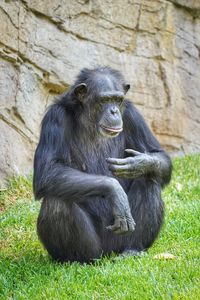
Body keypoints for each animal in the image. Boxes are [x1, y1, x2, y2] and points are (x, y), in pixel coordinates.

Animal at [33, 66, 172, 262]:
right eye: (104, 100)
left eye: (117, 100)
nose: (114, 111)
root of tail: (108, 254)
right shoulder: (55, 118)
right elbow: (47, 170)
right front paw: (115, 191)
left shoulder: (133, 115)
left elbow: (159, 155)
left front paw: (138, 164)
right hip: (97, 246)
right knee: (57, 201)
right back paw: (78, 261)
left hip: (119, 241)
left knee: (149, 181)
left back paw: (132, 249)